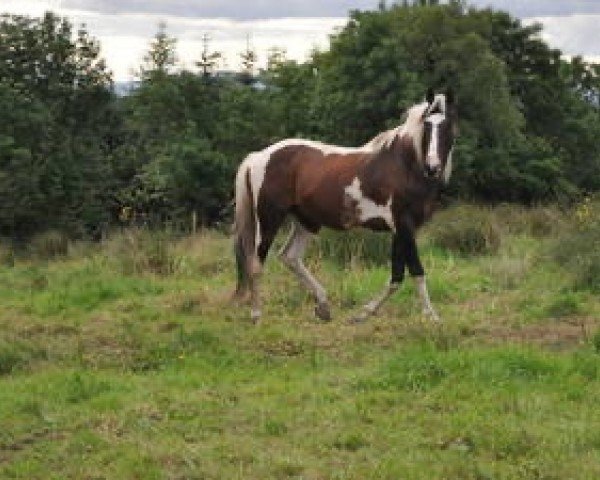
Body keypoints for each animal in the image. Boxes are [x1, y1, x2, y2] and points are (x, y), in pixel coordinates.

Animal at [232, 88, 458, 324]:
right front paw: (432, 317)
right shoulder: (403, 224)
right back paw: (256, 315)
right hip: (269, 219)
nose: (433, 167)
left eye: (448, 124)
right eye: (427, 125)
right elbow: (416, 270)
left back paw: (323, 306)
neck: (404, 166)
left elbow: (396, 276)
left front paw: (364, 313)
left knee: (290, 257)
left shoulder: (401, 228)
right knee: (256, 263)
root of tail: (258, 157)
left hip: (306, 221)